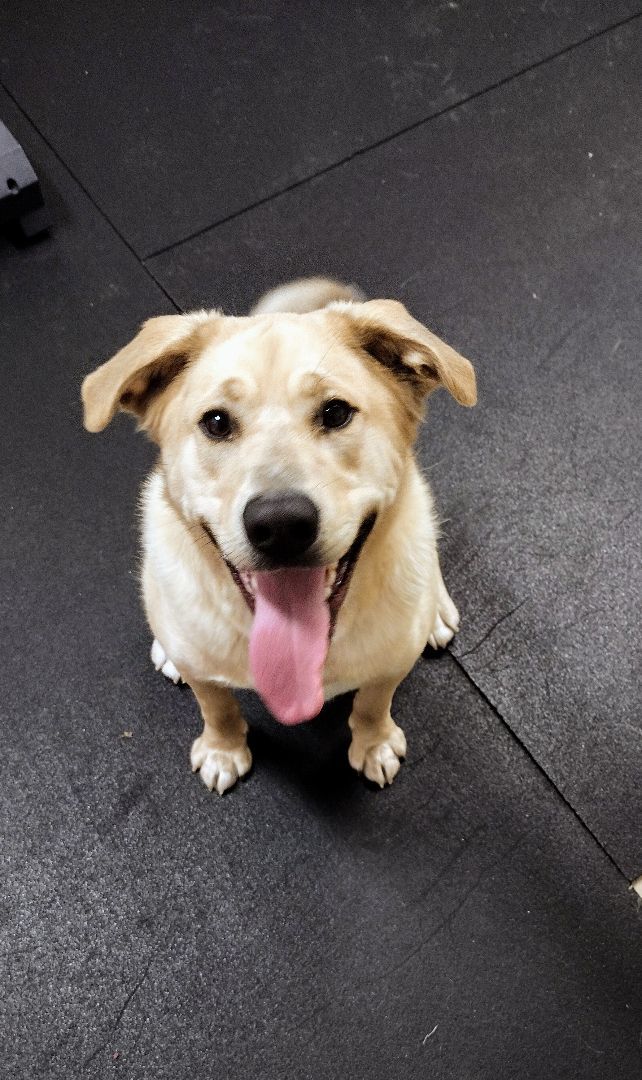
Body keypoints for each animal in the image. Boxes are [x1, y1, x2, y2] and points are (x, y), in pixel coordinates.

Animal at [81, 278, 475, 794]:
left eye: (336, 412)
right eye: (216, 422)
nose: (281, 525)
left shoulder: (390, 666)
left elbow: (373, 703)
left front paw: (374, 743)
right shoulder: (205, 675)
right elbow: (217, 706)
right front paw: (223, 749)